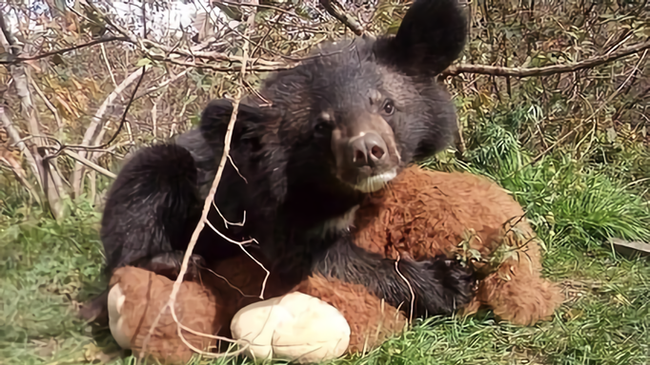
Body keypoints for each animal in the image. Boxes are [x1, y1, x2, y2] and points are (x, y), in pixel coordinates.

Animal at [95, 0, 470, 318]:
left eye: (387, 106)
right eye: (321, 127)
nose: (367, 152)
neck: (329, 189)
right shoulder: (274, 207)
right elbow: (318, 260)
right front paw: (449, 281)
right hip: (151, 175)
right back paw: (169, 261)